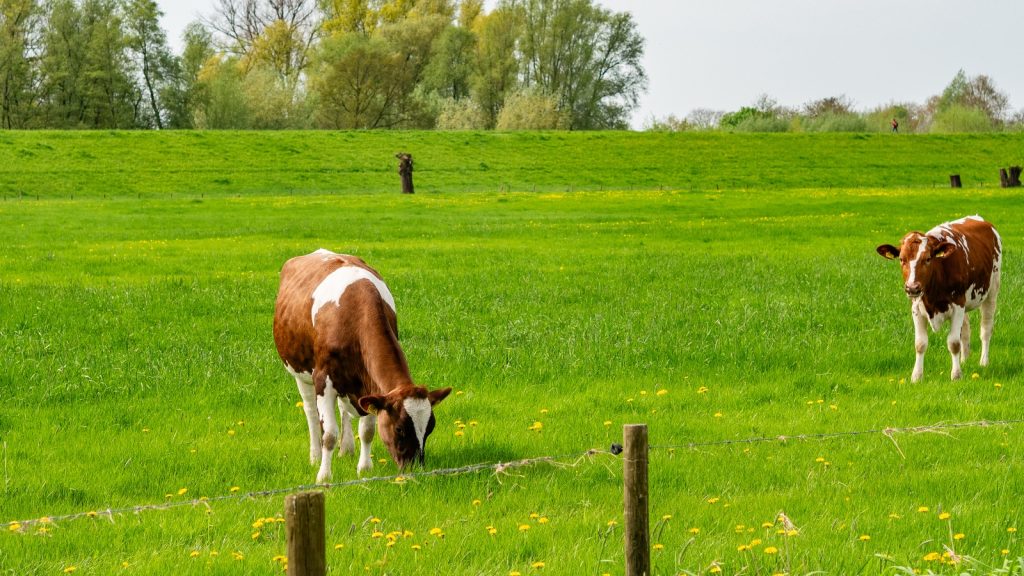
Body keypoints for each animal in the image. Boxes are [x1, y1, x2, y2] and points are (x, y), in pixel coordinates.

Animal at [272, 249, 451, 483]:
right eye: (400, 429)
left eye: (430, 428)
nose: (414, 469)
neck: (354, 312)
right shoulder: (323, 380)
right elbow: (329, 434)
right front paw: (324, 476)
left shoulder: (369, 386)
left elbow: (367, 430)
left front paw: (364, 469)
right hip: (300, 372)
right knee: (310, 412)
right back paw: (315, 456)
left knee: (343, 409)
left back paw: (346, 449)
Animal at [876, 215, 1002, 382]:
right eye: (902, 259)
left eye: (928, 258)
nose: (912, 288)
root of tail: (979, 219)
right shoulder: (916, 308)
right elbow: (920, 344)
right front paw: (916, 376)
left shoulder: (957, 305)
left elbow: (953, 343)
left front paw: (956, 375)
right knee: (966, 328)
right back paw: (965, 360)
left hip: (992, 291)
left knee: (986, 329)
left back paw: (984, 362)